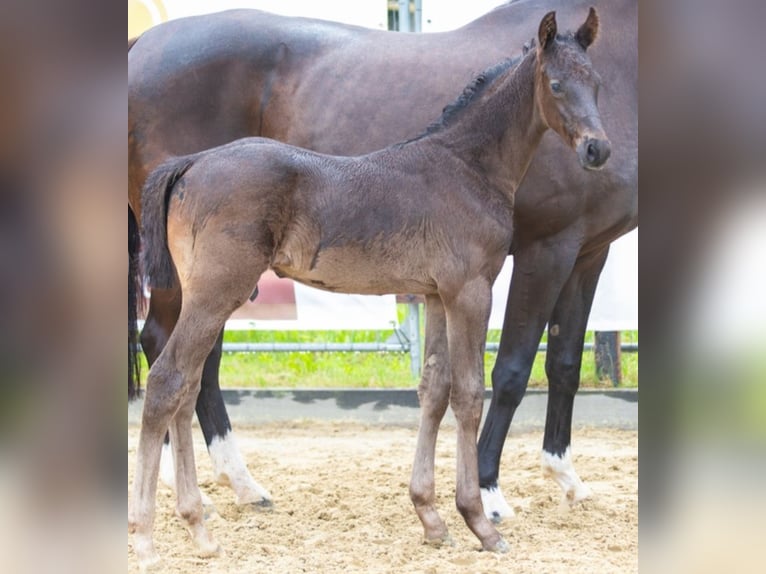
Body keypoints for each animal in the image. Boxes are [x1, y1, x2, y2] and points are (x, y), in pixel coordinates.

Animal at [132, 10, 612, 572]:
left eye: (597, 84)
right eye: (556, 84)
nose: (598, 149)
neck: (466, 167)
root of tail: (191, 163)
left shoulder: (435, 296)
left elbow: (434, 390)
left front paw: (431, 518)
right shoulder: (471, 291)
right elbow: (469, 394)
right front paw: (478, 520)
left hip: (202, 297)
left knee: (185, 388)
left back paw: (200, 530)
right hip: (215, 293)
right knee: (167, 381)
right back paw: (147, 539)